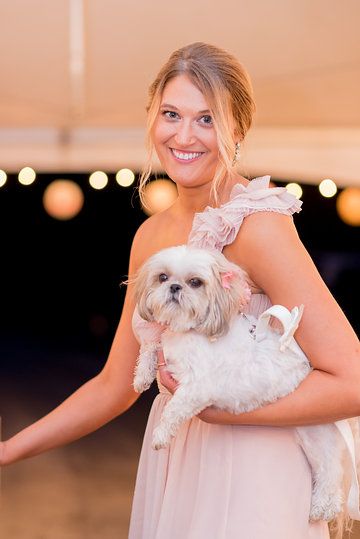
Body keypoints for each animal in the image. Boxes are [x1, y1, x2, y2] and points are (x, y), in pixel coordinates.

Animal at [131, 246, 344, 524]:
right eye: (162, 277)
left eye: (195, 282)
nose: (175, 287)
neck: (189, 331)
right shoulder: (165, 348)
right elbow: (151, 346)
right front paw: (141, 376)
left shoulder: (197, 388)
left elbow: (174, 408)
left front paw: (161, 435)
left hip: (318, 437)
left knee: (332, 472)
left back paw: (324, 507)